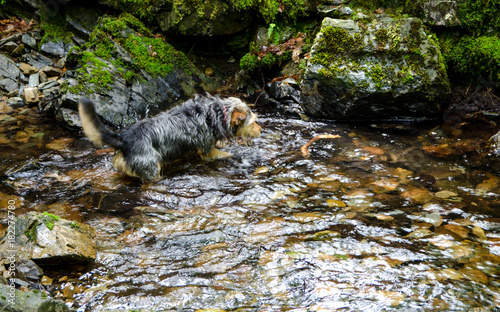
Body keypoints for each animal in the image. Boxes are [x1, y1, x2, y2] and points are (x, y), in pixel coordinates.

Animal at [78, 94, 262, 180]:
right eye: (253, 122)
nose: (261, 130)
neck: (218, 113)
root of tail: (123, 139)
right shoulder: (207, 151)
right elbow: (226, 154)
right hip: (151, 168)